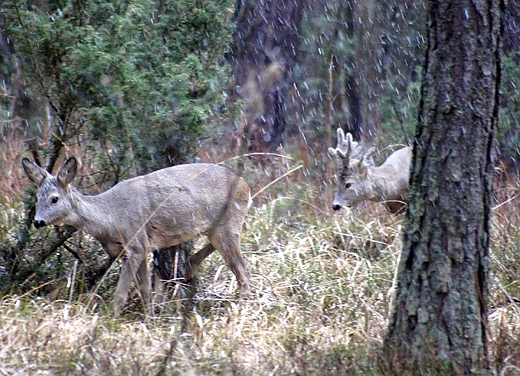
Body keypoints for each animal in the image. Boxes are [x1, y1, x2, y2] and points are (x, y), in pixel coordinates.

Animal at [22, 156, 252, 318]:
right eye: (37, 197)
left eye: (54, 199)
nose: (38, 222)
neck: (110, 217)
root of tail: (246, 186)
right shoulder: (141, 248)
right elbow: (145, 291)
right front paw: (150, 319)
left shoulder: (135, 243)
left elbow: (121, 294)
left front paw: (111, 321)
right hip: (217, 228)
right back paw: (190, 268)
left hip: (228, 224)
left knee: (243, 272)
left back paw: (241, 311)